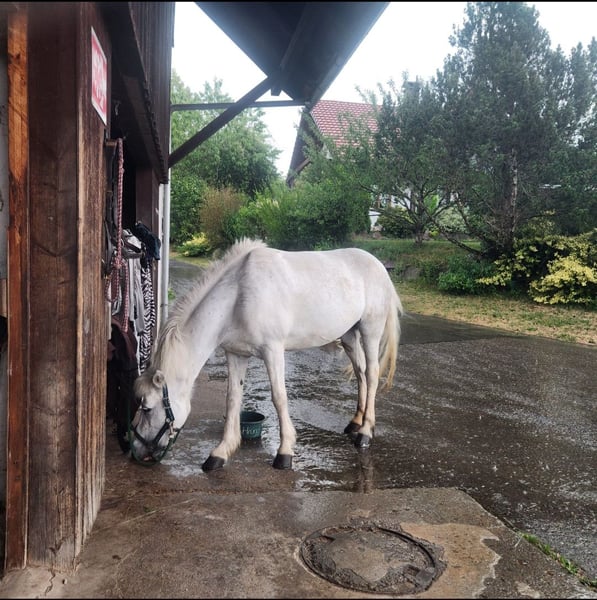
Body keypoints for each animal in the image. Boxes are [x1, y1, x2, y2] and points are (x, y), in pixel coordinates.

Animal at [131, 238, 404, 471]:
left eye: (147, 408)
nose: (135, 450)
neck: (238, 296)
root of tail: (379, 266)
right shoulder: (236, 354)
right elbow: (233, 399)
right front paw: (220, 453)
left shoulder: (273, 351)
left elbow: (279, 397)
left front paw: (285, 453)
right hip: (348, 336)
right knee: (361, 374)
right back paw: (355, 422)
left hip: (370, 331)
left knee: (372, 374)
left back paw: (365, 433)